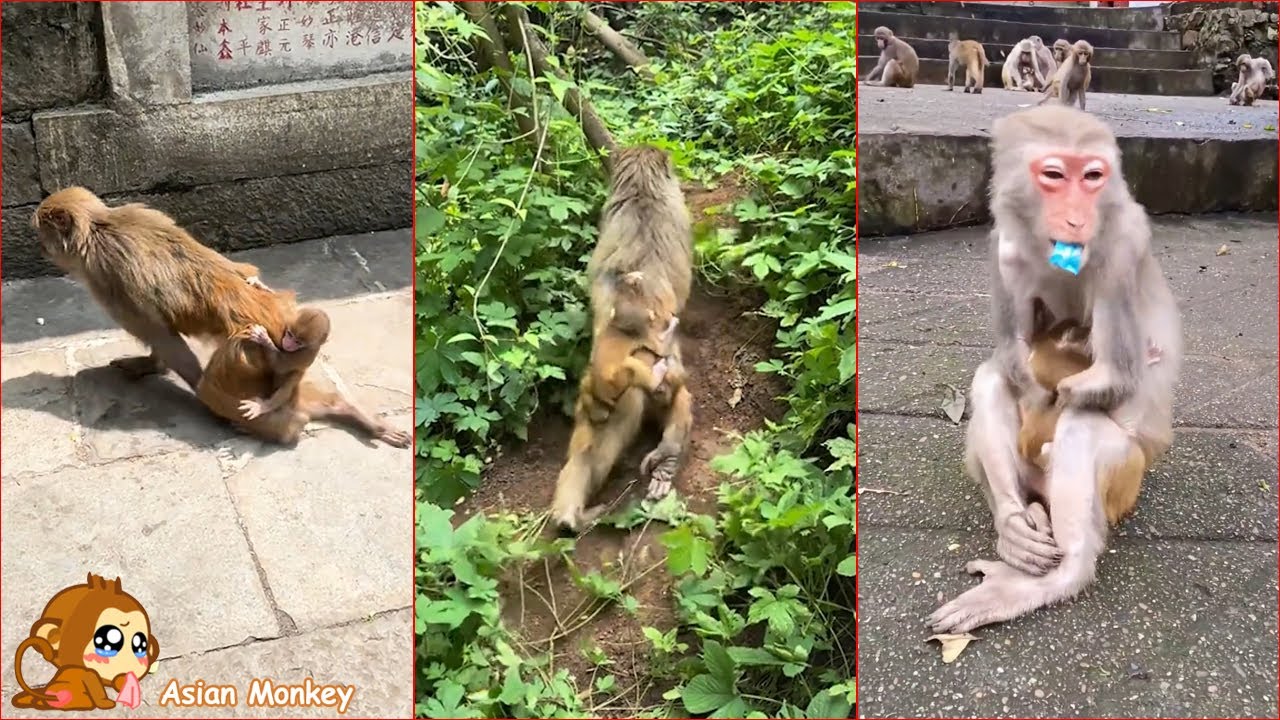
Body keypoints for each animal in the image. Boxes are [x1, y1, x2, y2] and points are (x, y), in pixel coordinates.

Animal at [196, 308, 411, 448]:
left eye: (298, 341)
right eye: (290, 334)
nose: (288, 341)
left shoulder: (302, 354)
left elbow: (281, 365)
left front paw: (264, 339)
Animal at [927, 105, 1182, 634]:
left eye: (1092, 177)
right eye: (1053, 175)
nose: (1077, 217)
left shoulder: (1122, 251)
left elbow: (1111, 379)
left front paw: (1057, 387)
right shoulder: (1002, 246)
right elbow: (1010, 358)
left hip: (1126, 481)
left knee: (1081, 426)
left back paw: (1054, 578)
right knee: (991, 381)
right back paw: (1015, 524)